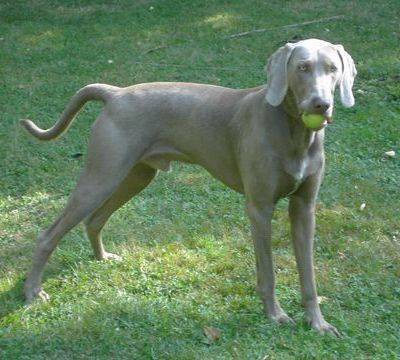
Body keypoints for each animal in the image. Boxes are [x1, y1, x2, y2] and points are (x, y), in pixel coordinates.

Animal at [21, 38, 356, 336]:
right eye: (302, 67)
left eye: (332, 68)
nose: (321, 104)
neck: (294, 131)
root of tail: (115, 93)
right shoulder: (259, 208)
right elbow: (268, 272)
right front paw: (274, 315)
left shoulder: (304, 208)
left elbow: (308, 274)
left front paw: (318, 323)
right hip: (102, 175)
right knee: (49, 235)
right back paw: (32, 292)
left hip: (136, 176)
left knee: (95, 219)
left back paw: (101, 258)